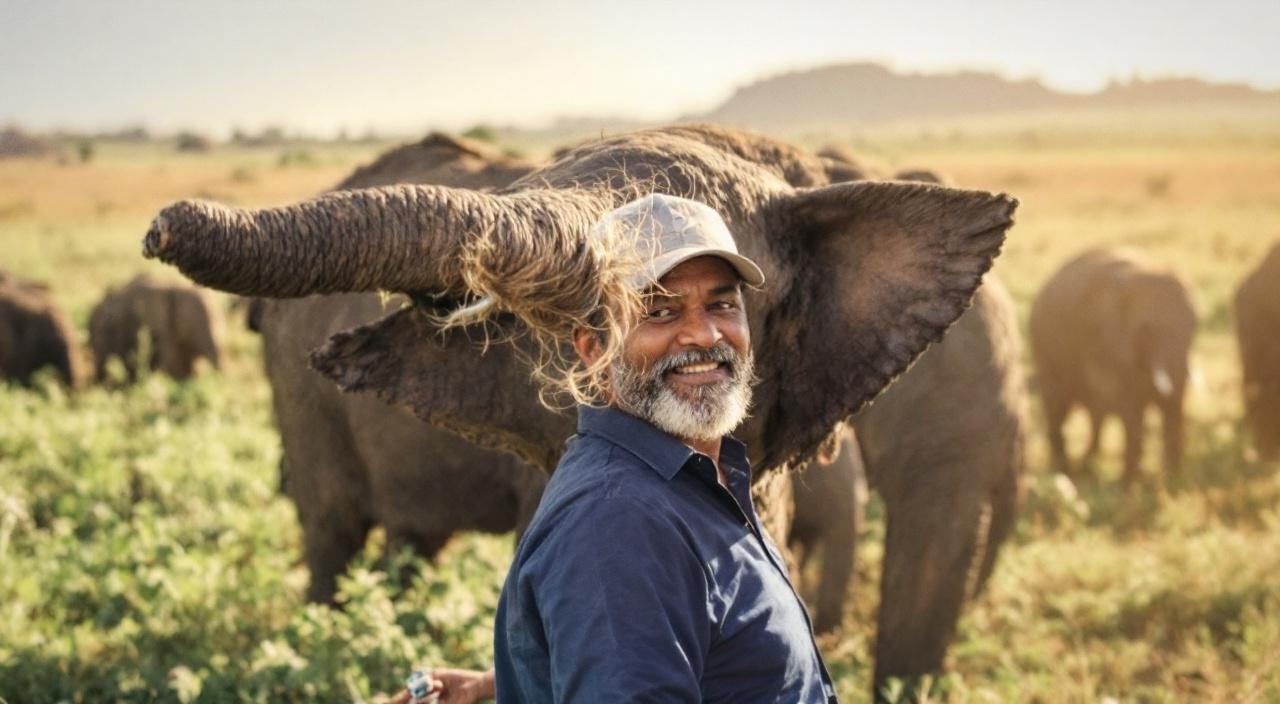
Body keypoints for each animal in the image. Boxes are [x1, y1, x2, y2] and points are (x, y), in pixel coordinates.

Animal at [1030, 247, 1198, 484]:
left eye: (1195, 328)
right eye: (1148, 331)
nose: (1168, 478)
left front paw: (1167, 481)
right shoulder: (1105, 340)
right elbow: (1126, 406)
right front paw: (1129, 485)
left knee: (1095, 412)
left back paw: (1085, 468)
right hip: (1044, 344)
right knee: (1057, 405)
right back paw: (1064, 472)